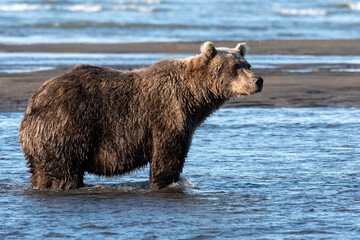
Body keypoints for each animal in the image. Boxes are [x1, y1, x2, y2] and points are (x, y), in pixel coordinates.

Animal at [18, 42, 262, 190]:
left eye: (247, 64)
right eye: (235, 67)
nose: (258, 80)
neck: (194, 97)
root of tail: (33, 101)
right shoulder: (168, 114)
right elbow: (168, 156)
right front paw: (166, 183)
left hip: (40, 143)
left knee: (40, 171)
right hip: (67, 127)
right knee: (67, 171)